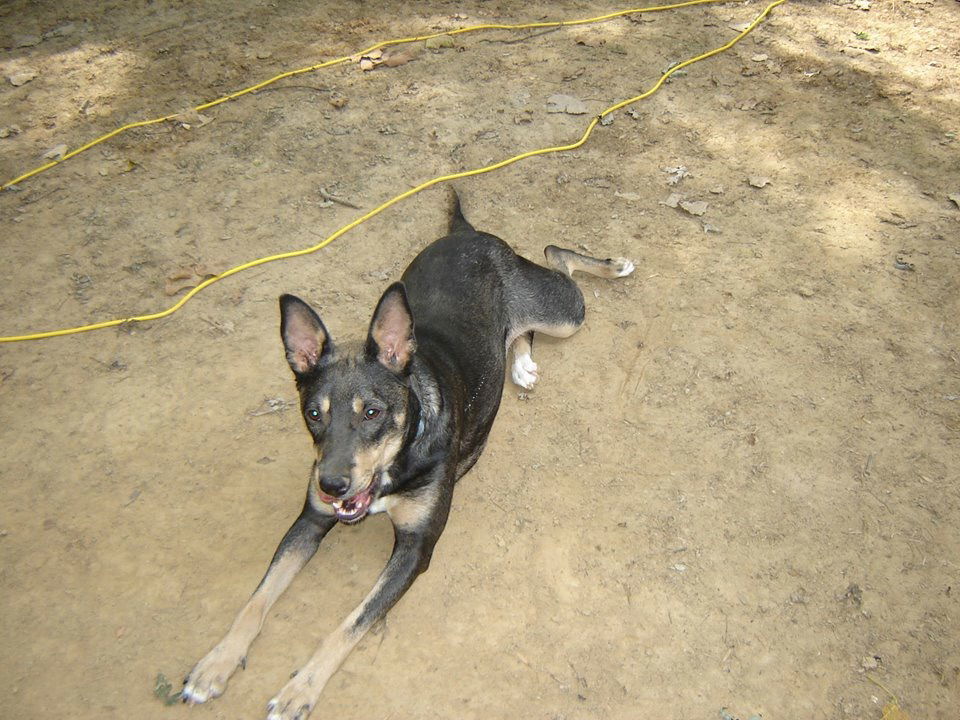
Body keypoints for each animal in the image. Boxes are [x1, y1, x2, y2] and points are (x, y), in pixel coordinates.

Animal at [181, 193, 632, 720]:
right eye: (313, 413)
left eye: (373, 412)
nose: (331, 485)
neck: (396, 463)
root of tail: (468, 233)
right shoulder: (310, 520)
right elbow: (256, 600)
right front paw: (216, 663)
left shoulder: (416, 548)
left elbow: (350, 624)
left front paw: (299, 689)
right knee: (519, 327)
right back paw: (519, 362)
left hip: (563, 313)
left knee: (556, 257)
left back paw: (611, 266)